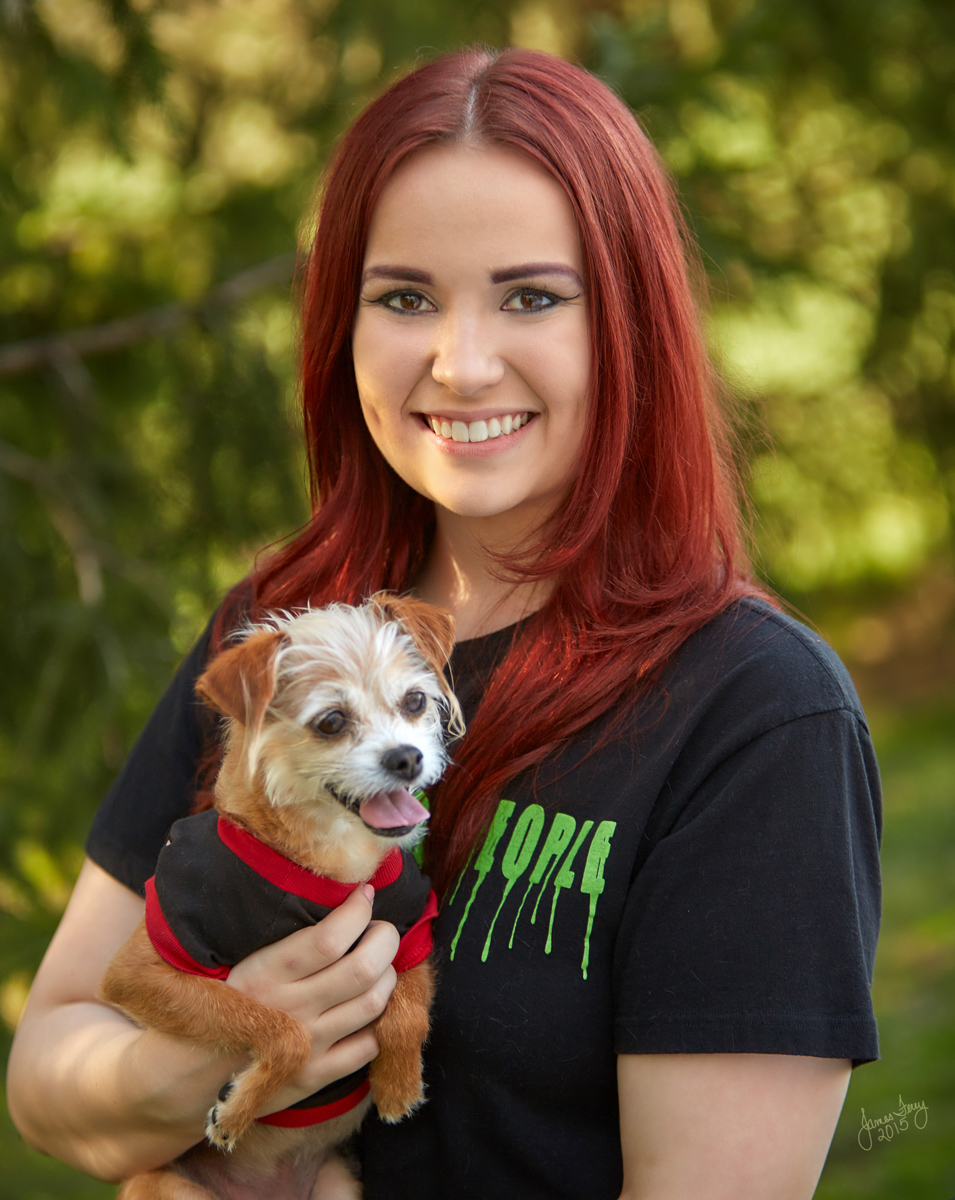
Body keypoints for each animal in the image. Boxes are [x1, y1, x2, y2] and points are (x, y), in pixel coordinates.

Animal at [102, 595, 460, 1200]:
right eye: (331, 722)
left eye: (414, 701)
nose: (408, 757)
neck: (331, 862)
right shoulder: (141, 970)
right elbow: (282, 1029)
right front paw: (238, 1111)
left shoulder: (409, 929)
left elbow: (411, 1014)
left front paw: (398, 1085)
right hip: (166, 1187)